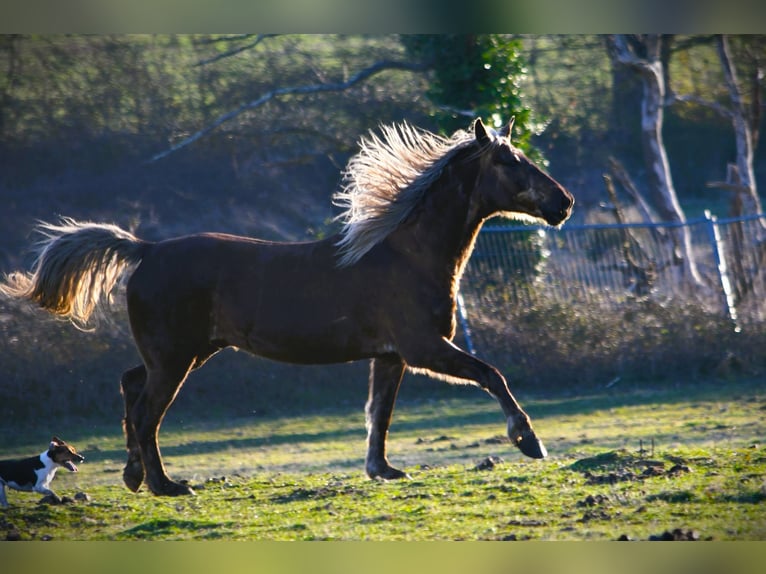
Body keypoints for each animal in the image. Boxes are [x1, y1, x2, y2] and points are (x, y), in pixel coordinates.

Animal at [0, 118, 573, 496]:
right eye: (508, 160)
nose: (563, 203)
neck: (405, 255)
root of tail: (146, 250)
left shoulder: (391, 355)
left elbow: (379, 413)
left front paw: (383, 470)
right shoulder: (424, 347)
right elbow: (492, 374)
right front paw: (528, 441)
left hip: (188, 353)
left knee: (130, 385)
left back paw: (135, 475)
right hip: (176, 358)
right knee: (145, 412)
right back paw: (168, 486)